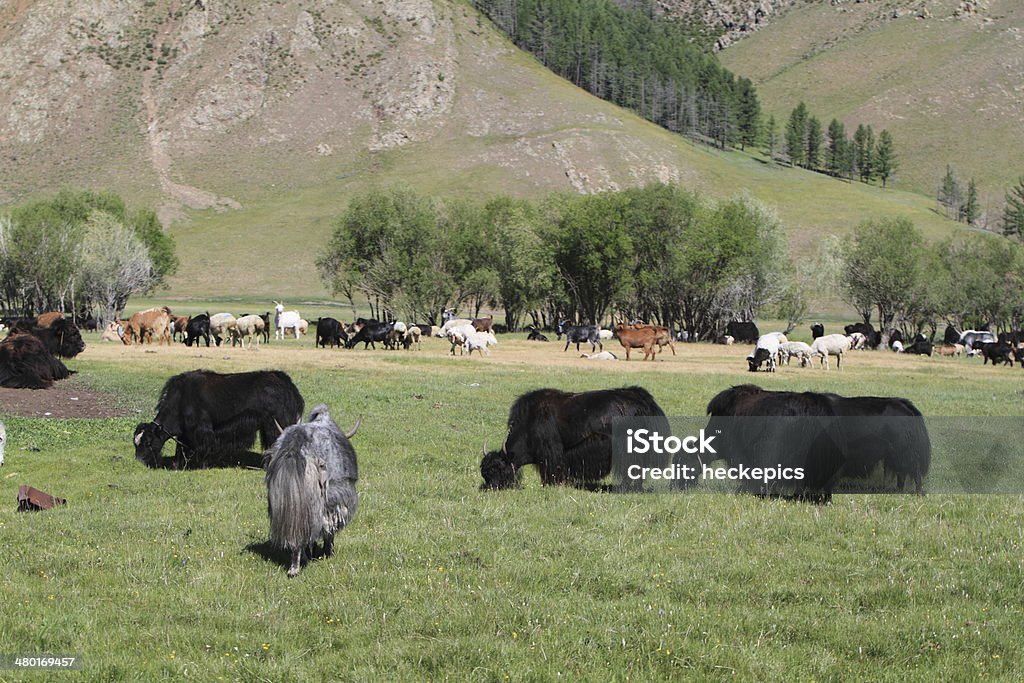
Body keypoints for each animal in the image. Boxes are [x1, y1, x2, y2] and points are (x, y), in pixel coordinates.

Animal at [131, 368, 303, 471]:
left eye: (148, 442)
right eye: (135, 442)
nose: (139, 460)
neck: (180, 400)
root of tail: (287, 382)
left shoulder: (201, 429)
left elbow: (203, 446)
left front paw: (202, 465)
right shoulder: (185, 433)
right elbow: (180, 448)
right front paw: (177, 465)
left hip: (276, 423)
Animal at [479, 385, 671, 491]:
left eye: (499, 468)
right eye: (484, 472)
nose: (490, 488)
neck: (529, 423)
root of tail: (643, 399)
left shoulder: (551, 451)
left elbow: (552, 469)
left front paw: (552, 485)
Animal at [692, 385, 933, 501]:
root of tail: (907, 406)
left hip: (904, 454)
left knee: (913, 472)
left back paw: (917, 494)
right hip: (895, 456)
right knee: (902, 474)